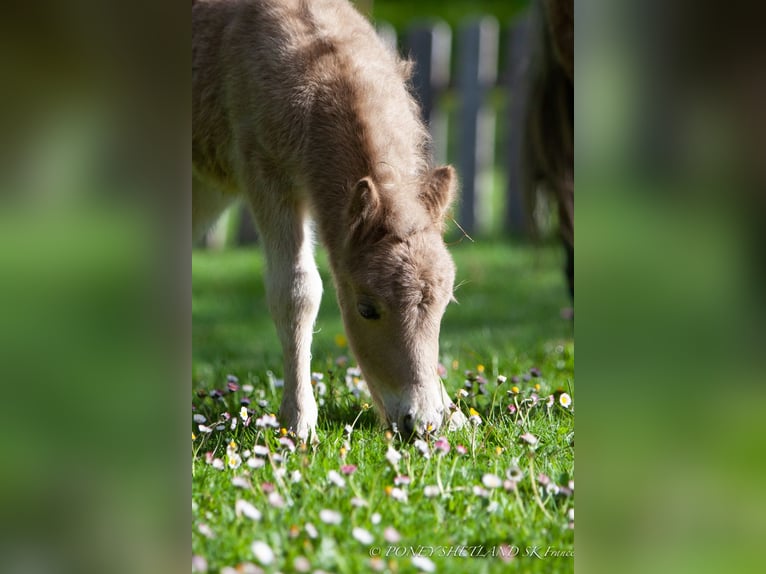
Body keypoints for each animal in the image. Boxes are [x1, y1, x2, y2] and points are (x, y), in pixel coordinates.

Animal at [194, 0, 468, 440]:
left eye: (445, 305)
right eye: (366, 309)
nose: (420, 423)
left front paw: (453, 413)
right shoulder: (265, 172)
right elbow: (296, 290)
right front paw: (298, 421)